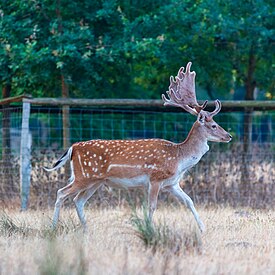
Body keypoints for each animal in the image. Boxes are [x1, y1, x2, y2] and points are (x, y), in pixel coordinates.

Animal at [44, 62, 233, 233]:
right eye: (214, 125)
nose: (229, 136)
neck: (179, 159)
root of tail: (72, 148)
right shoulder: (155, 178)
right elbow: (151, 206)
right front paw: (149, 229)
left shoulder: (172, 183)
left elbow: (189, 201)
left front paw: (203, 228)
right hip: (84, 176)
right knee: (62, 193)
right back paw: (52, 228)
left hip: (95, 181)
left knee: (78, 200)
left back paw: (86, 229)